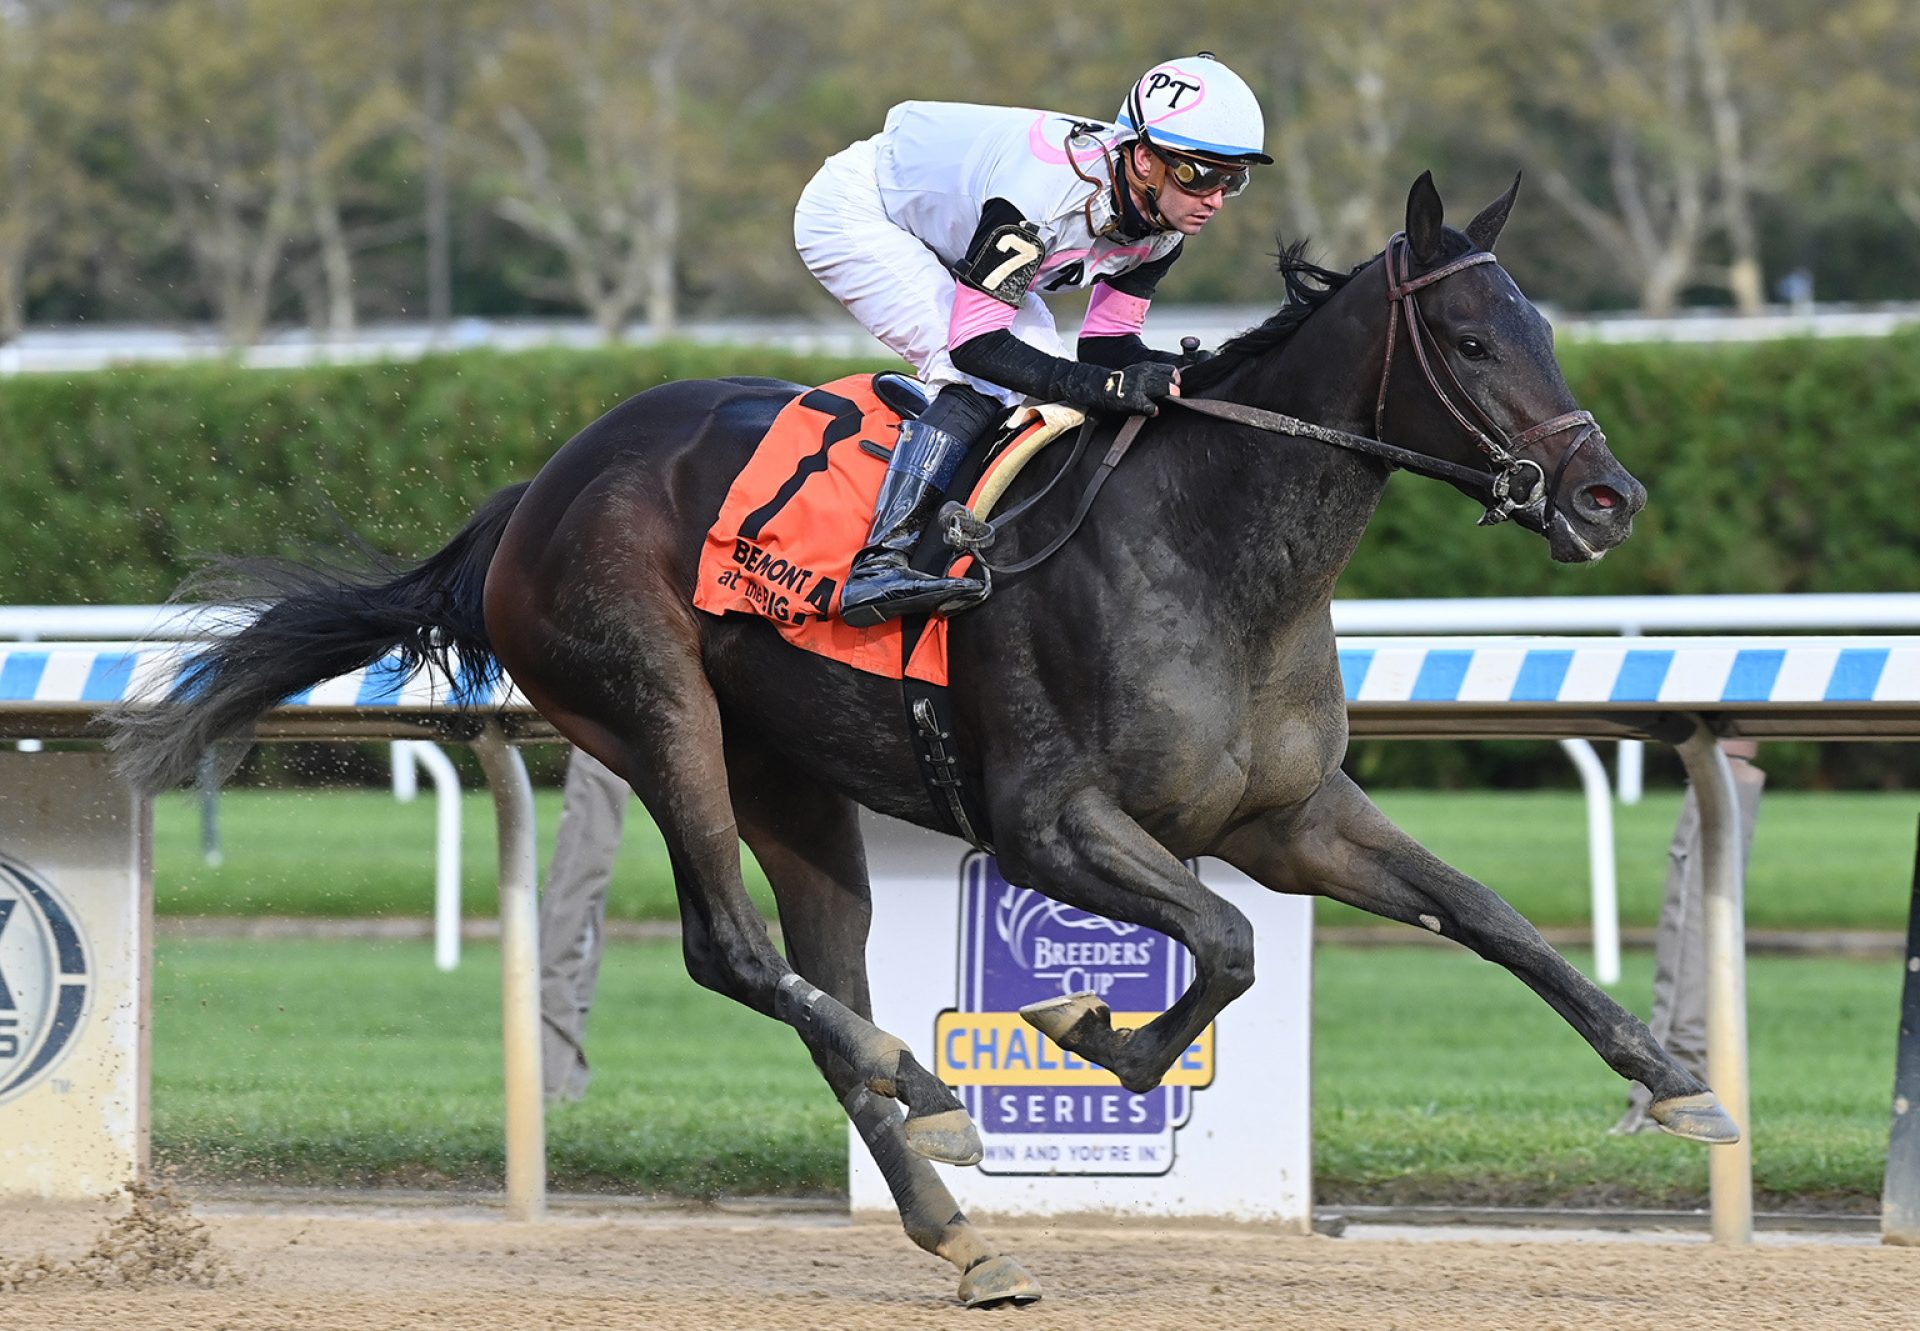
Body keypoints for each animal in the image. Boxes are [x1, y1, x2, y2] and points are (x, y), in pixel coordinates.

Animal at [116, 170, 1743, 1306]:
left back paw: (958, 1225)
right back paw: (929, 1081)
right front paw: (1090, 1028)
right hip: (649, 711)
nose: (1608, 497)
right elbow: (1222, 944)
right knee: (735, 949)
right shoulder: (1050, 822)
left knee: (816, 960)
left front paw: (1677, 1079)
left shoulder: (1291, 816)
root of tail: (535, 488)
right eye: (1470, 337)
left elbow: (1485, 913)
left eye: (1544, 326)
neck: (1213, 552)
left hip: (792, 777)